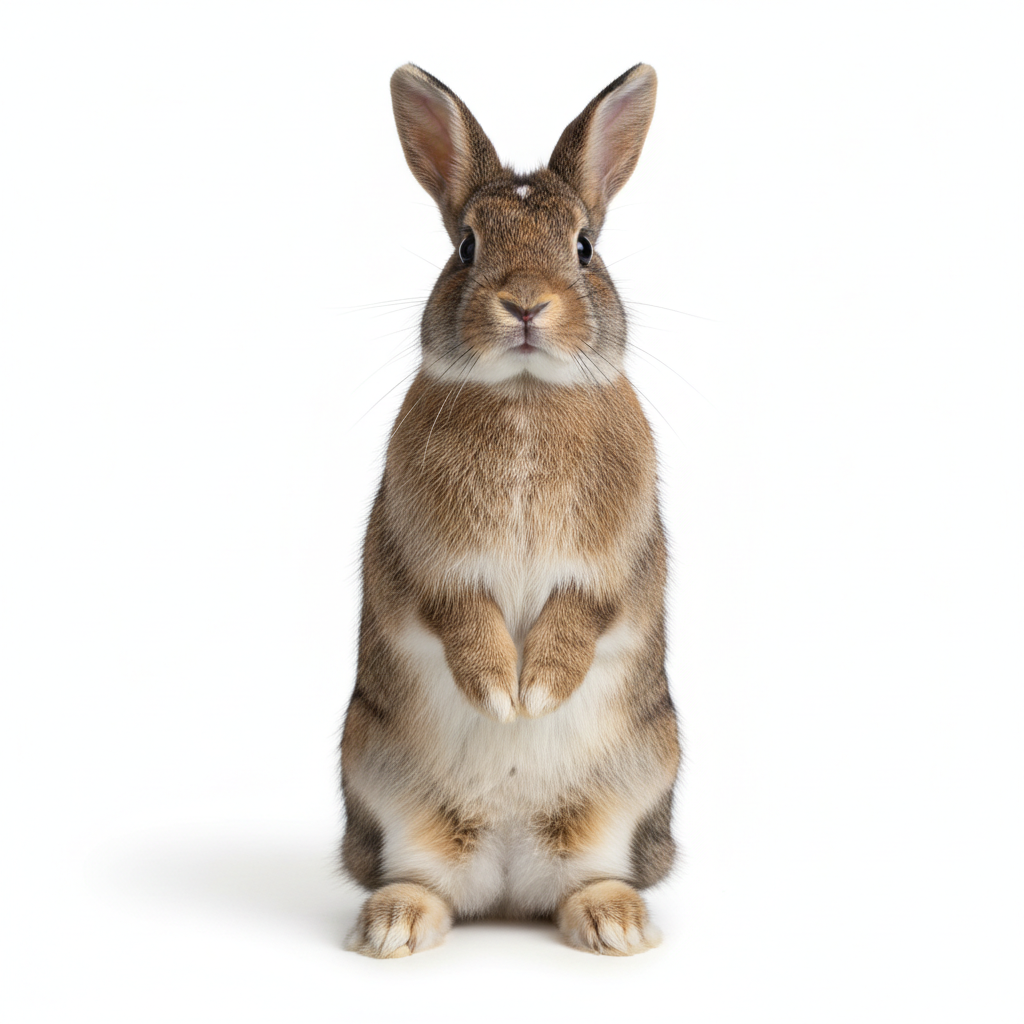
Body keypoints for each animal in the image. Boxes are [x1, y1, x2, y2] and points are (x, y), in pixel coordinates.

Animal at [340, 62, 680, 958]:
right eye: (465, 246)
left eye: (584, 247)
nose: (526, 304)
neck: (526, 393)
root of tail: (506, 868)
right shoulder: (425, 563)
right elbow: (460, 615)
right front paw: (502, 695)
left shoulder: (612, 566)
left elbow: (582, 614)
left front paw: (541, 693)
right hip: (384, 788)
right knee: (426, 881)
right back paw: (391, 927)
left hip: (633, 788)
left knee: (586, 876)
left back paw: (615, 924)